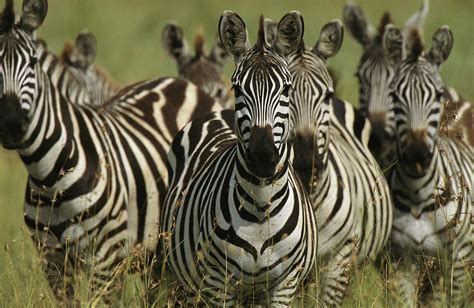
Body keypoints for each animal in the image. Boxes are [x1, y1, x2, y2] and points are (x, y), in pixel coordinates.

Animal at [384, 24, 472, 304]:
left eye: (436, 94)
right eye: (394, 95)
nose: (417, 153)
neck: (418, 194)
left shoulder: (459, 257)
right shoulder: (402, 260)